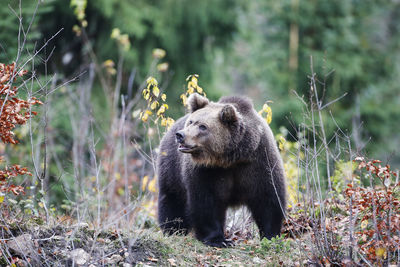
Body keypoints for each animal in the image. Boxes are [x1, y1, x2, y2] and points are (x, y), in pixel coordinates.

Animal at [155, 93, 284, 248]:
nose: (180, 135)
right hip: (171, 167)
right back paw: (174, 229)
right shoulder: (207, 171)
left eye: (203, 126)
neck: (231, 158)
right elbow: (207, 202)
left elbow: (268, 198)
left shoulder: (259, 162)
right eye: (191, 121)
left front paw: (271, 235)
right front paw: (219, 240)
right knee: (173, 199)